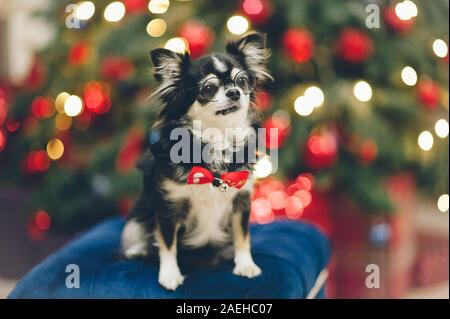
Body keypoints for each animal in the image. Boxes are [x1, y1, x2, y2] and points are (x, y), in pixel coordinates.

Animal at [121, 32, 272, 292]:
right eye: (208, 88)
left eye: (242, 81)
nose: (234, 92)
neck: (216, 140)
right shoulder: (168, 208)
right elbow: (167, 245)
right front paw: (169, 275)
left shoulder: (241, 202)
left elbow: (243, 237)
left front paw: (245, 265)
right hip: (137, 218)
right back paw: (138, 250)